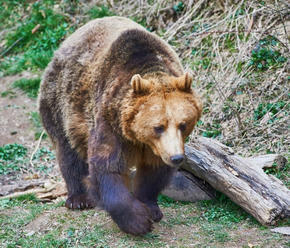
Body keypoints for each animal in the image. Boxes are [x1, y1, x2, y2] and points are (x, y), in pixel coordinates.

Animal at [38, 16, 202, 235]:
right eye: (158, 126)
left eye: (183, 124)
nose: (176, 157)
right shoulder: (109, 119)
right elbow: (107, 167)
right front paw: (138, 220)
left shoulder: (157, 147)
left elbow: (154, 172)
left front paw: (151, 209)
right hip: (60, 102)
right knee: (68, 151)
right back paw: (78, 199)